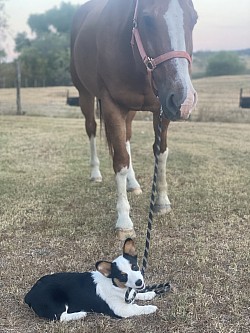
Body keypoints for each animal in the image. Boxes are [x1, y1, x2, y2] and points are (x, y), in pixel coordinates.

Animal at [24, 237, 157, 320]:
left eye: (134, 267)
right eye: (122, 276)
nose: (139, 282)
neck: (115, 285)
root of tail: (29, 295)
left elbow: (137, 294)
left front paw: (148, 294)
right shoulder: (121, 310)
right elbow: (137, 308)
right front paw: (151, 307)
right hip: (56, 304)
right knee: (61, 317)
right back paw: (80, 314)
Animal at [71, 0, 198, 239]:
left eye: (194, 19)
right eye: (147, 19)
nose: (183, 100)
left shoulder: (161, 108)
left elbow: (161, 153)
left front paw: (162, 201)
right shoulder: (112, 105)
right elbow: (120, 160)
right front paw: (123, 220)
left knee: (127, 137)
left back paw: (133, 183)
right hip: (85, 94)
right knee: (91, 129)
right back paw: (95, 173)